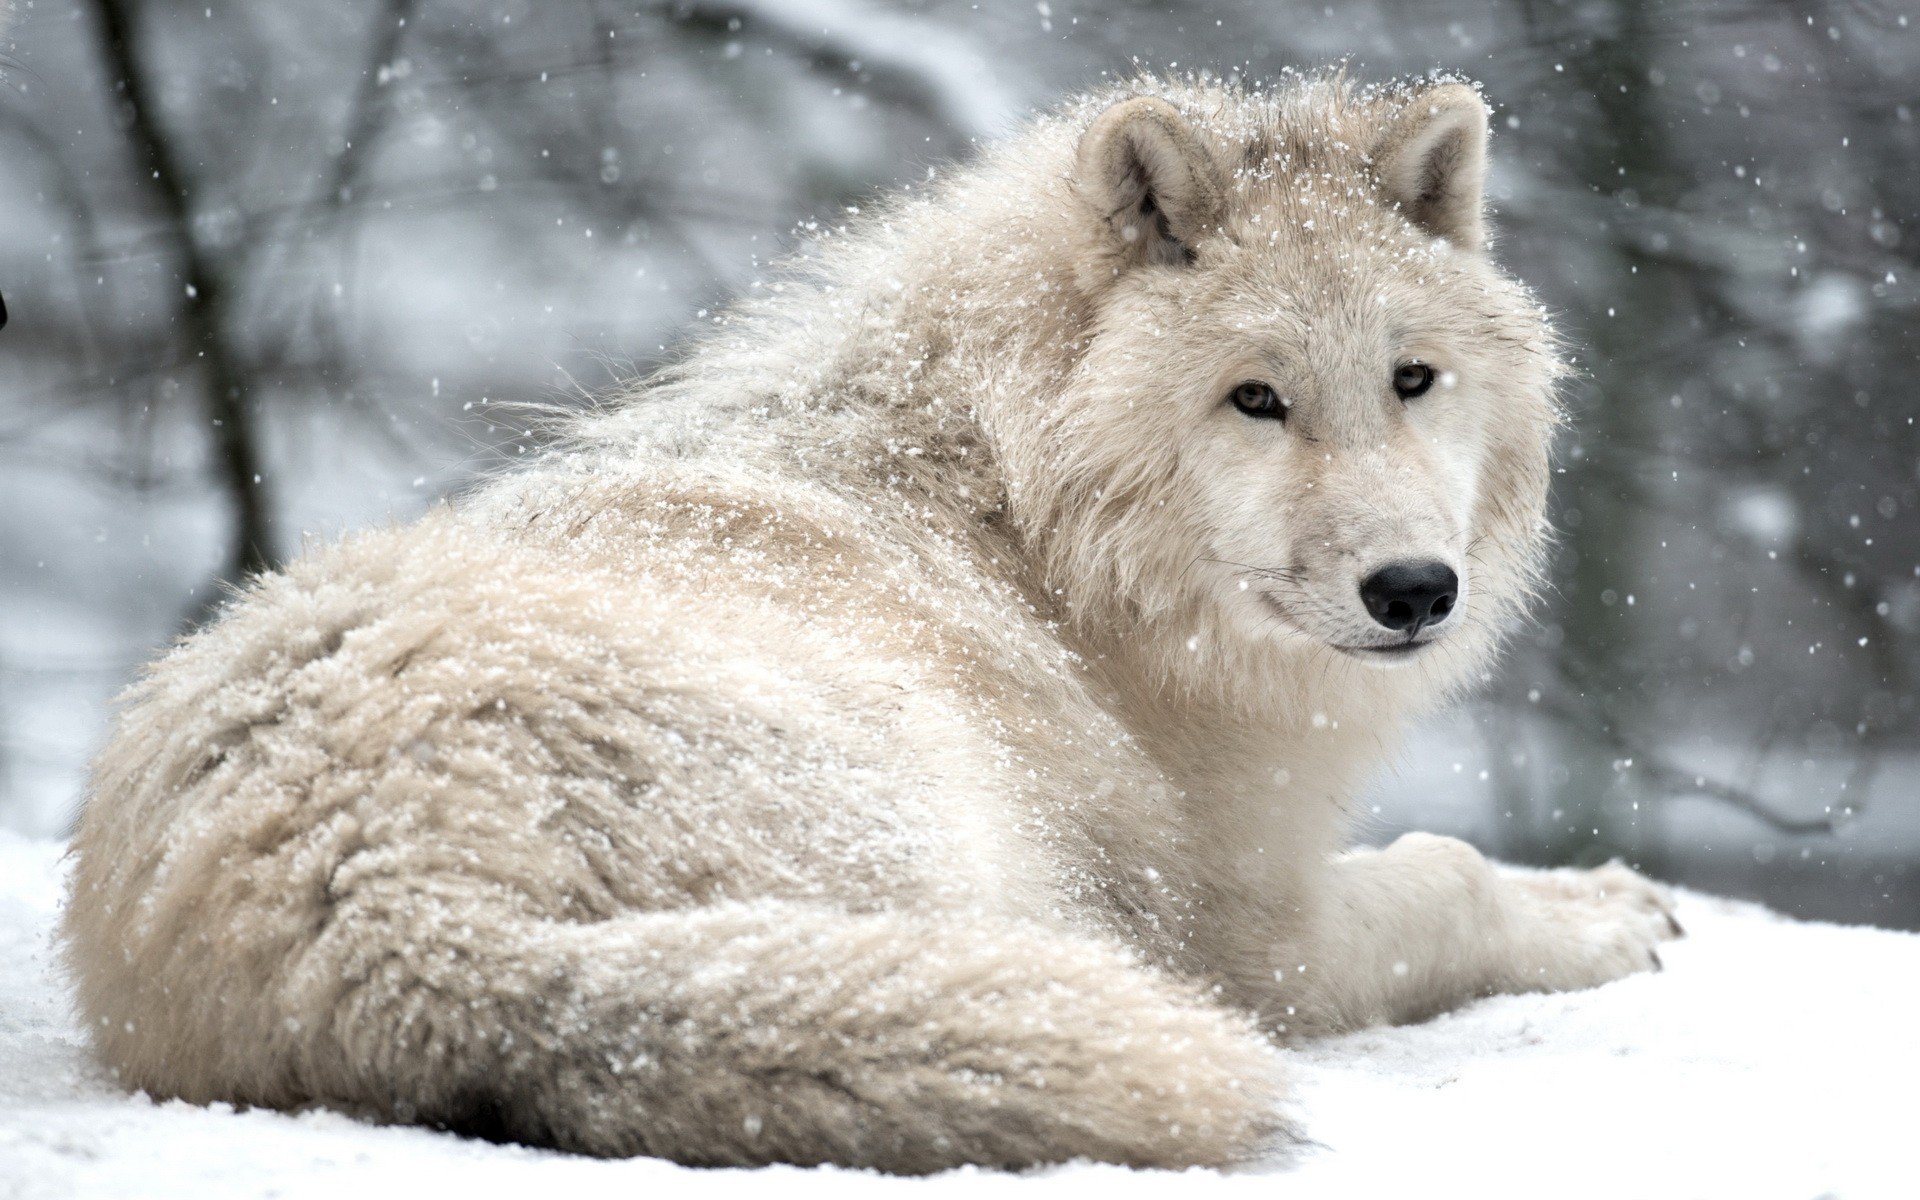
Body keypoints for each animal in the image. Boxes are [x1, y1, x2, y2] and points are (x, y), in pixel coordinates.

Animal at [63, 74, 1680, 1173]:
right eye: (1257, 398)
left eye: (1412, 378)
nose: (1415, 591)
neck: (1024, 521)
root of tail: (413, 925)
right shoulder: (1244, 934)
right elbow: (1451, 880)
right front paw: (1609, 911)